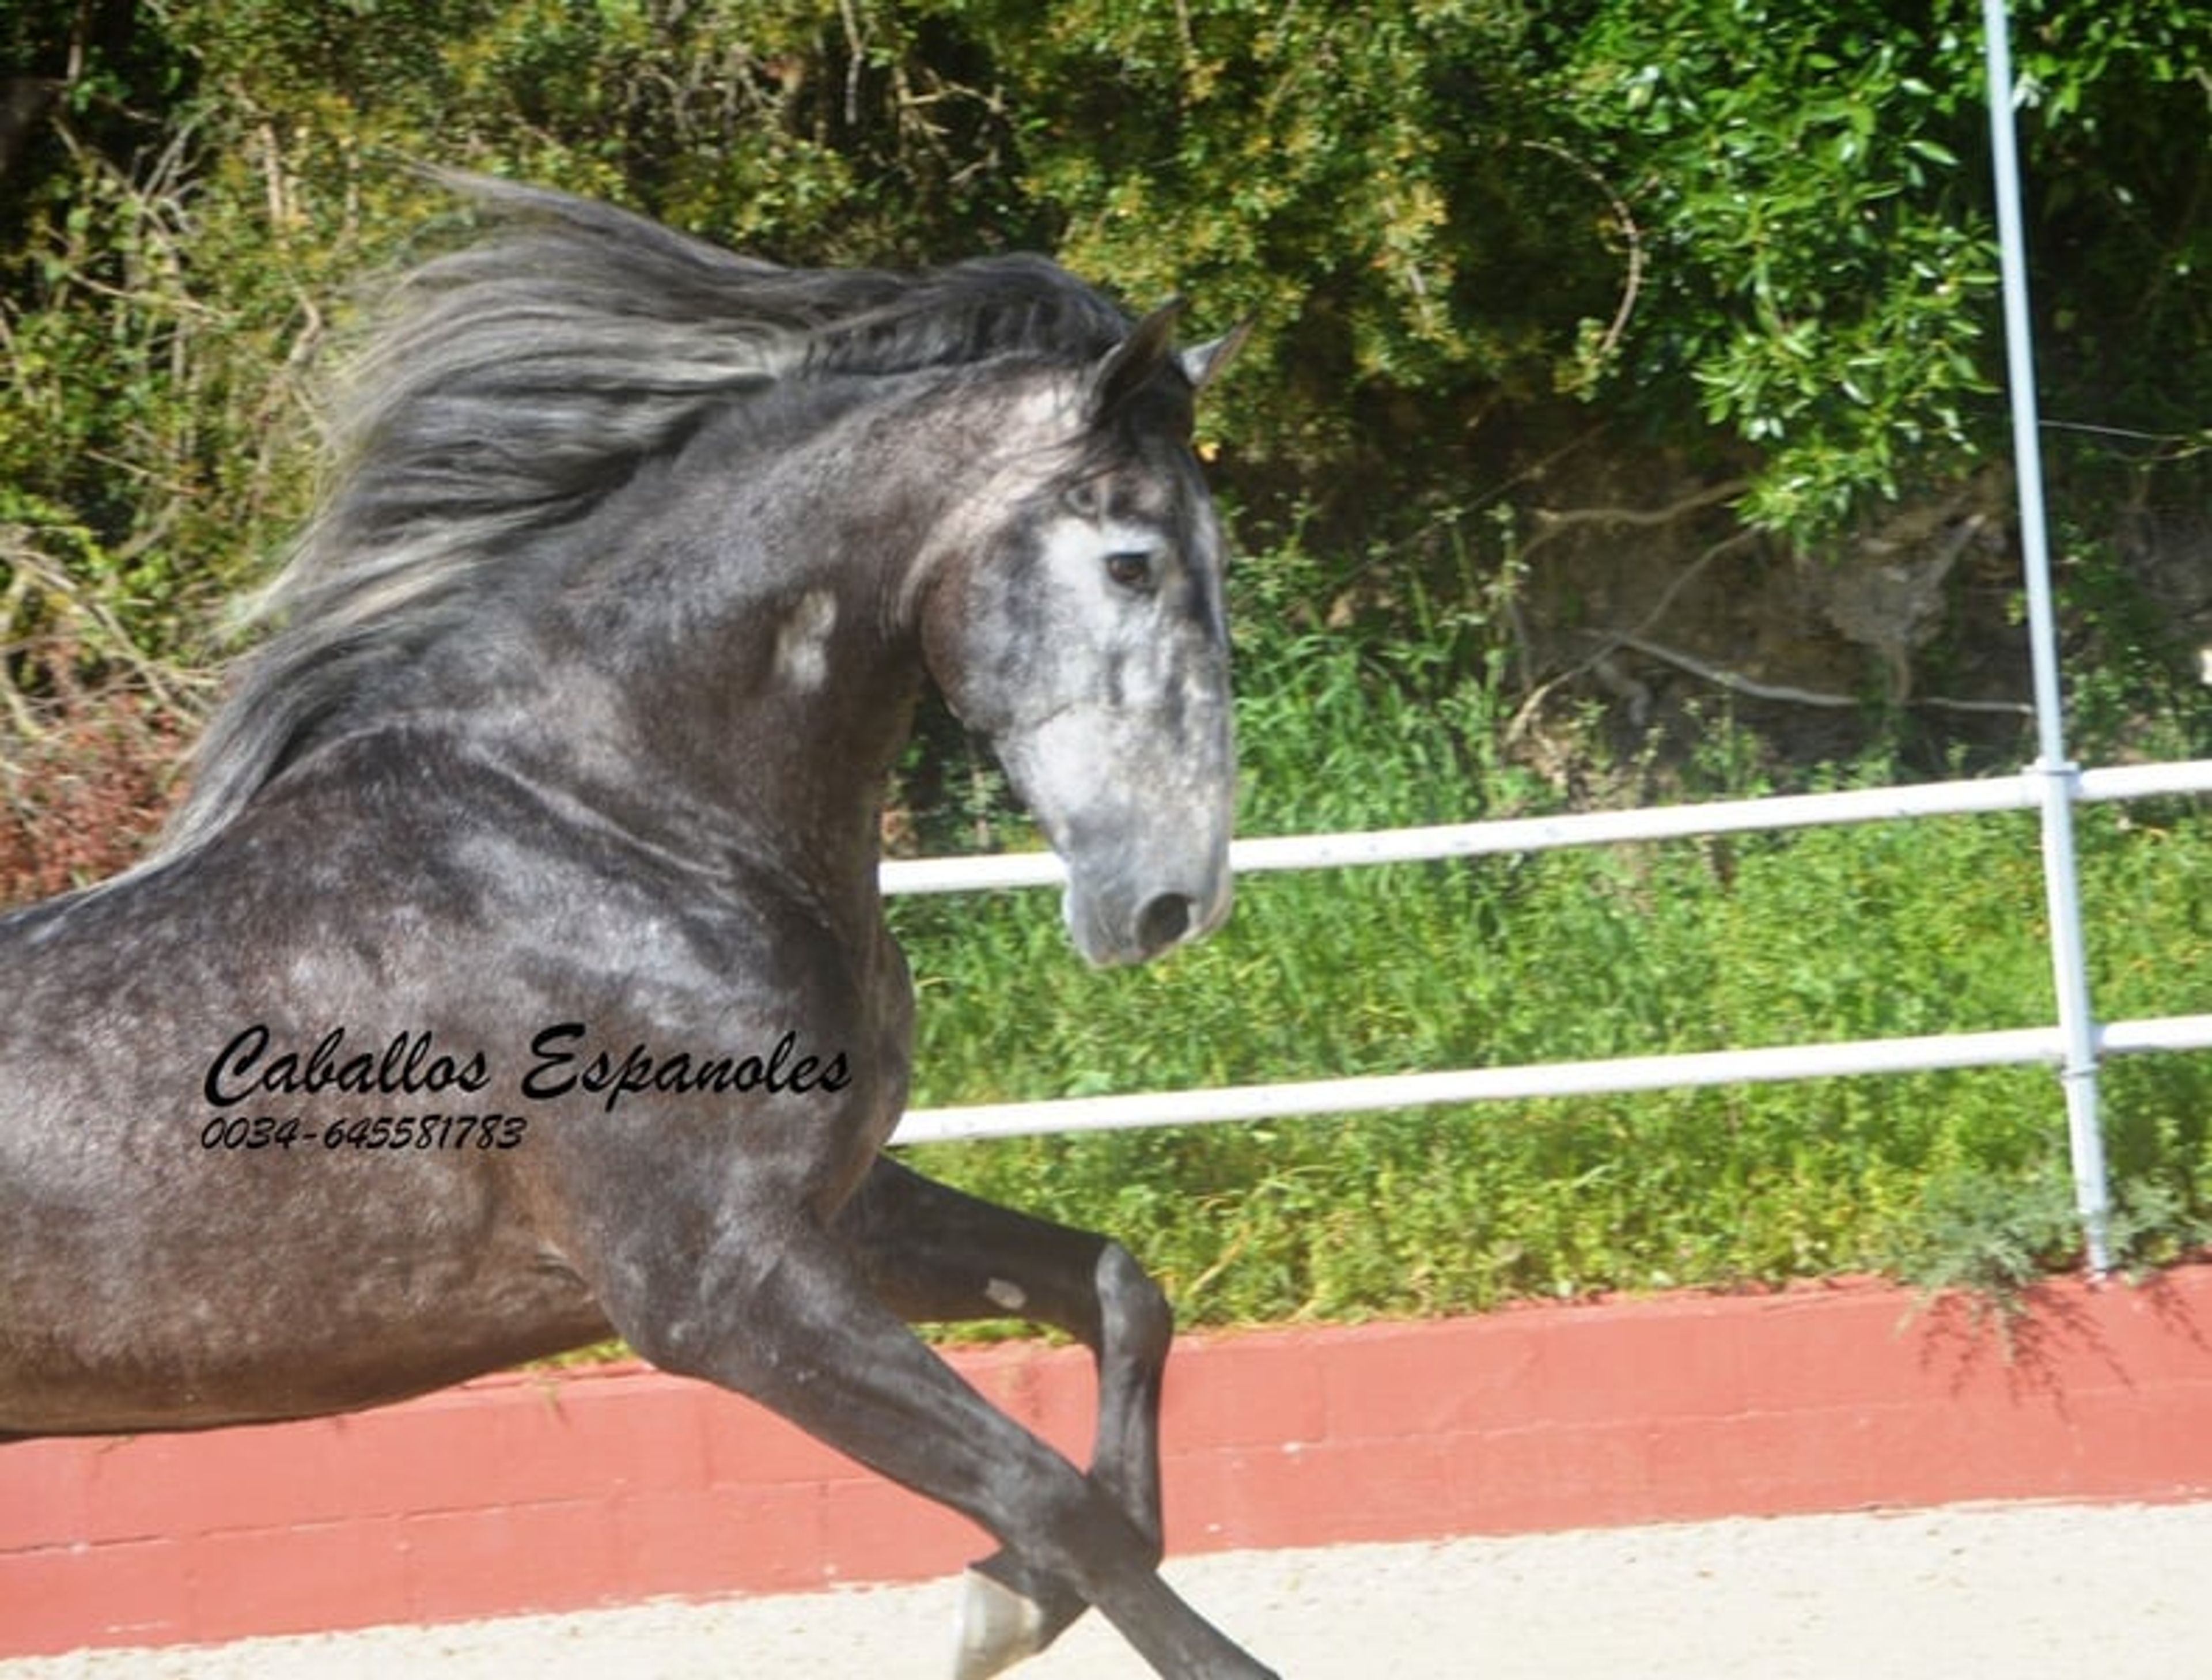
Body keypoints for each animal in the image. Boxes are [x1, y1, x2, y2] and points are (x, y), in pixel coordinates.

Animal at [0, 174, 1272, 1679]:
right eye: (1133, 561)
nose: (1169, 901)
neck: (614, 825)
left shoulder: (831, 1213)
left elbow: (1117, 1296)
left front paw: (998, 1604)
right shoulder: (717, 1290)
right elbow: (1053, 1496)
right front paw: (1018, 1601)